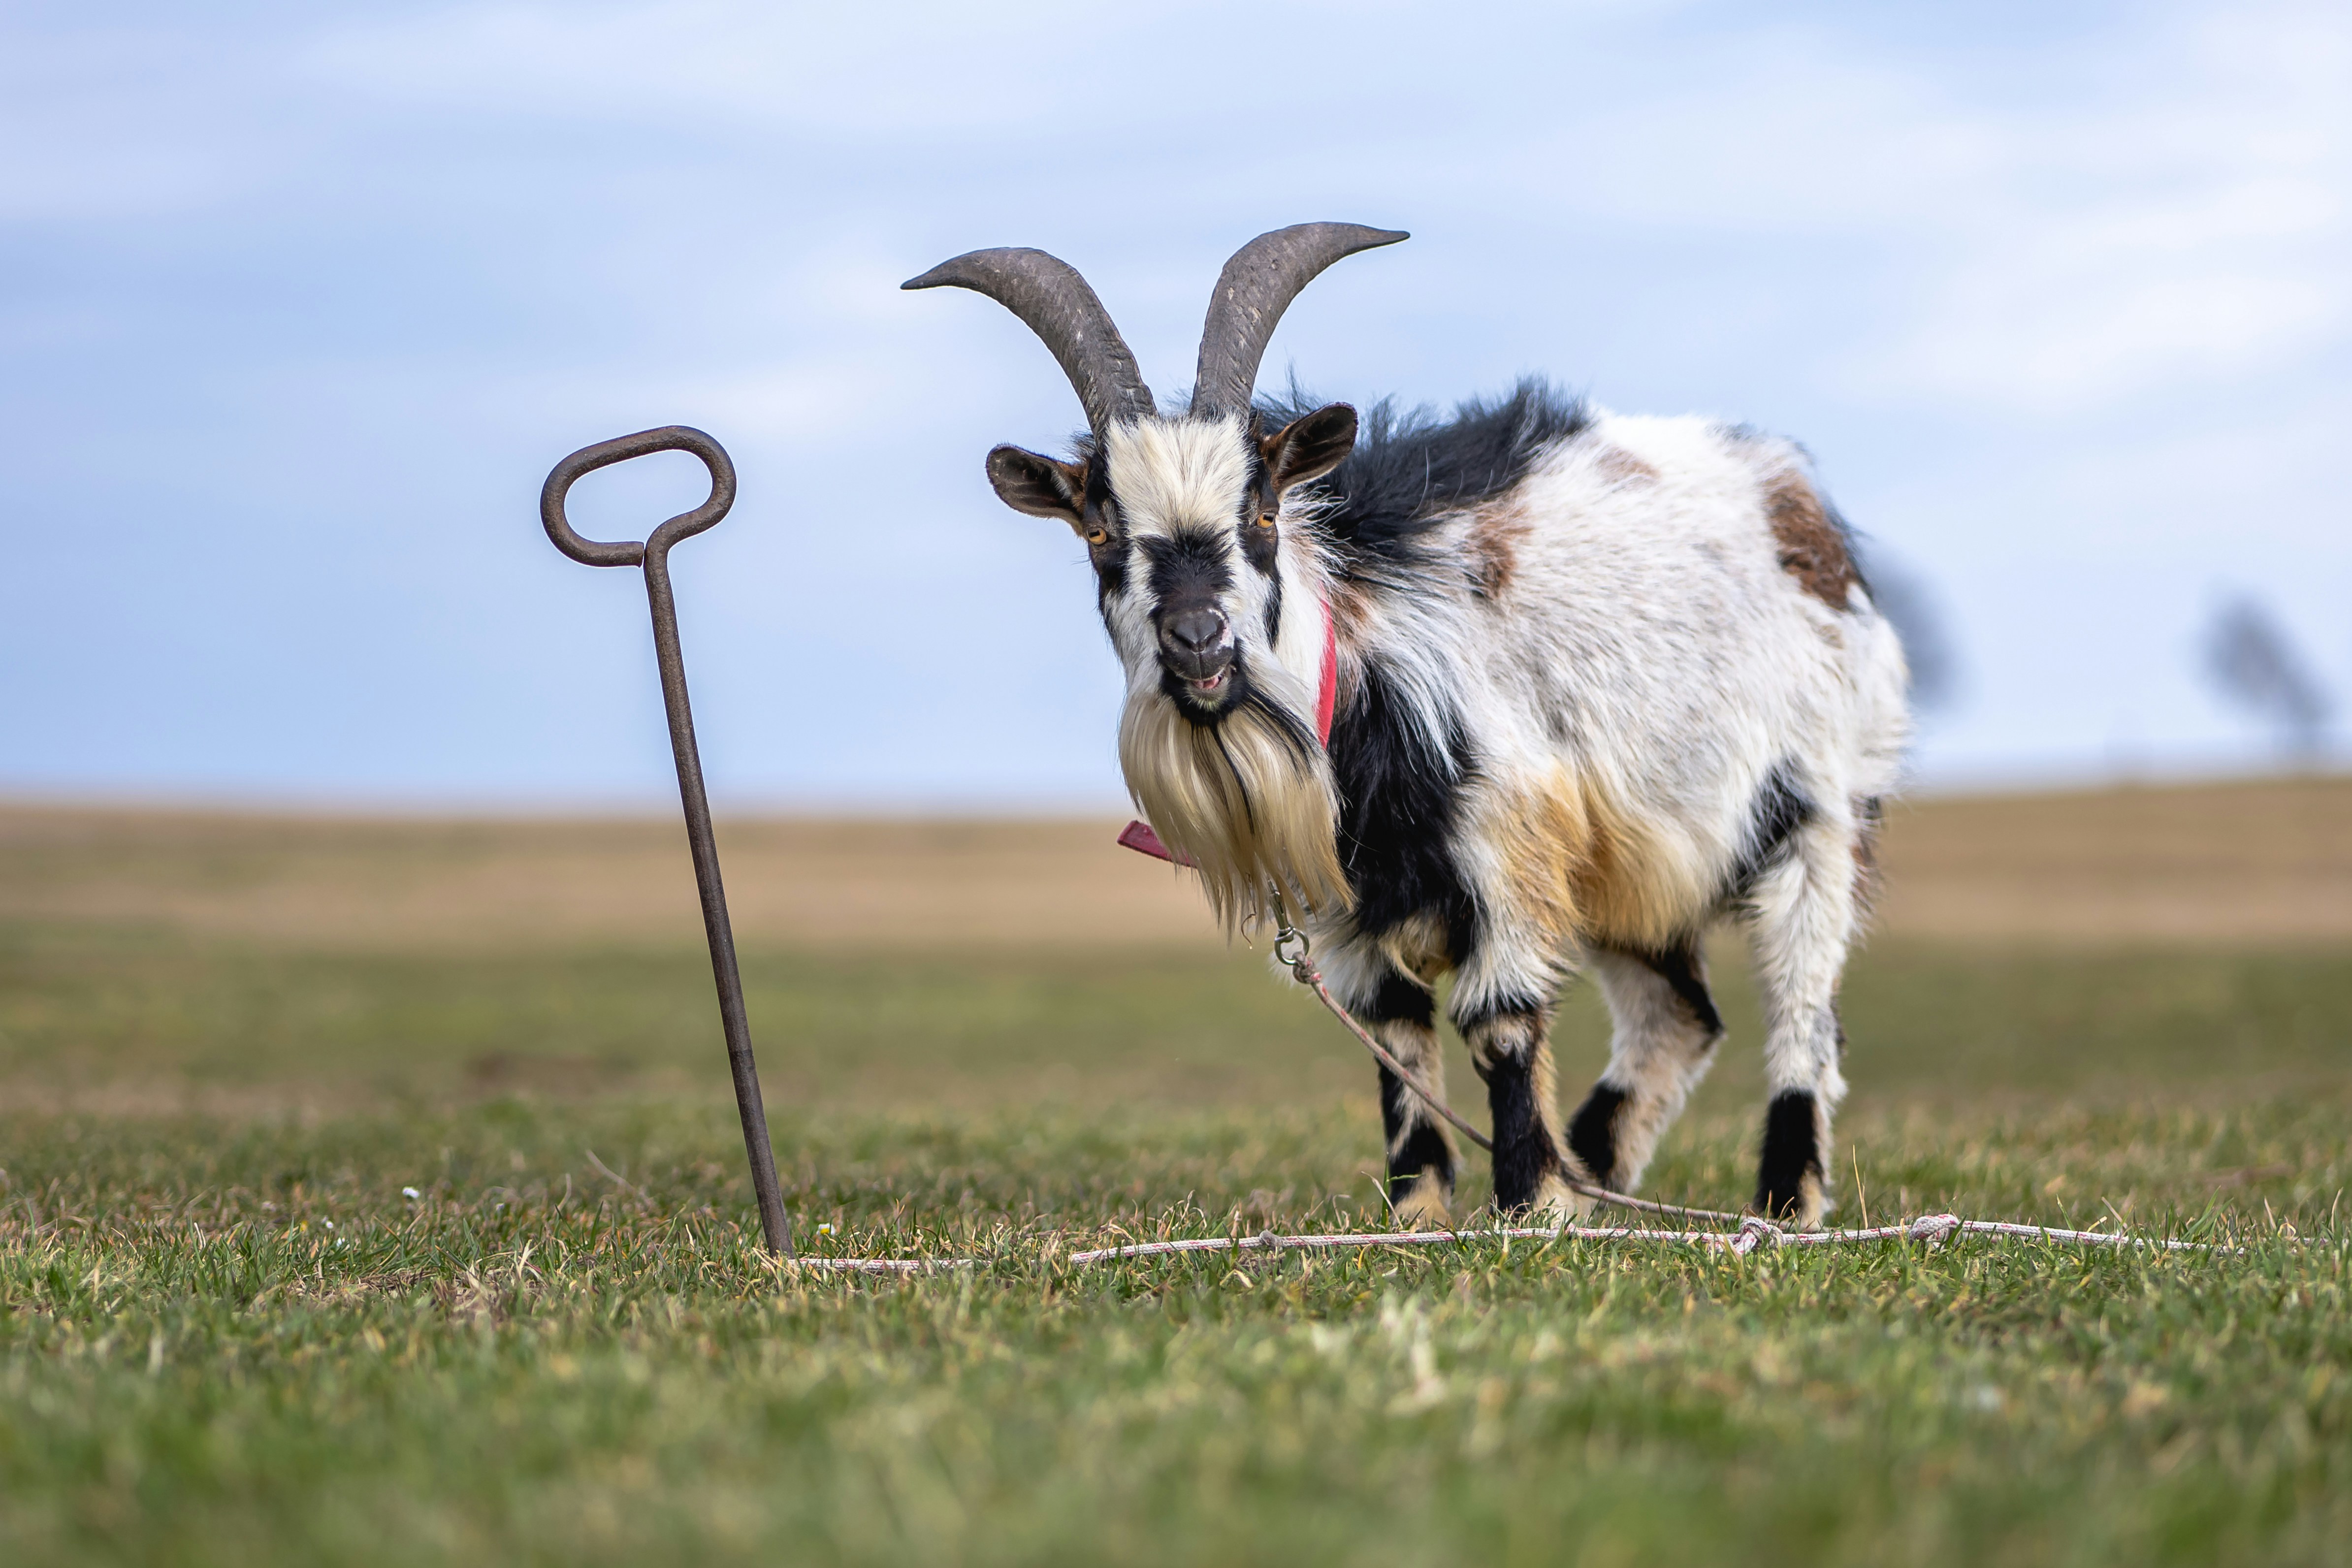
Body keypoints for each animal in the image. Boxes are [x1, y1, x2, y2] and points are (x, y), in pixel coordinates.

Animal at [906, 224, 1908, 1226]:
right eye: (1099, 534)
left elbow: (1500, 1023)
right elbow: (1396, 1040)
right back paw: (1596, 1173)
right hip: (1638, 862)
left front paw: (1528, 1208)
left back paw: (1780, 1204)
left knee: (1802, 1014)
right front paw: (1421, 1217)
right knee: (1678, 1018)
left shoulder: (1508, 844)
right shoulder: (1351, 909)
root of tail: (1793, 502)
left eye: (1262, 514)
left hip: (1818, 816)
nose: (1199, 642)